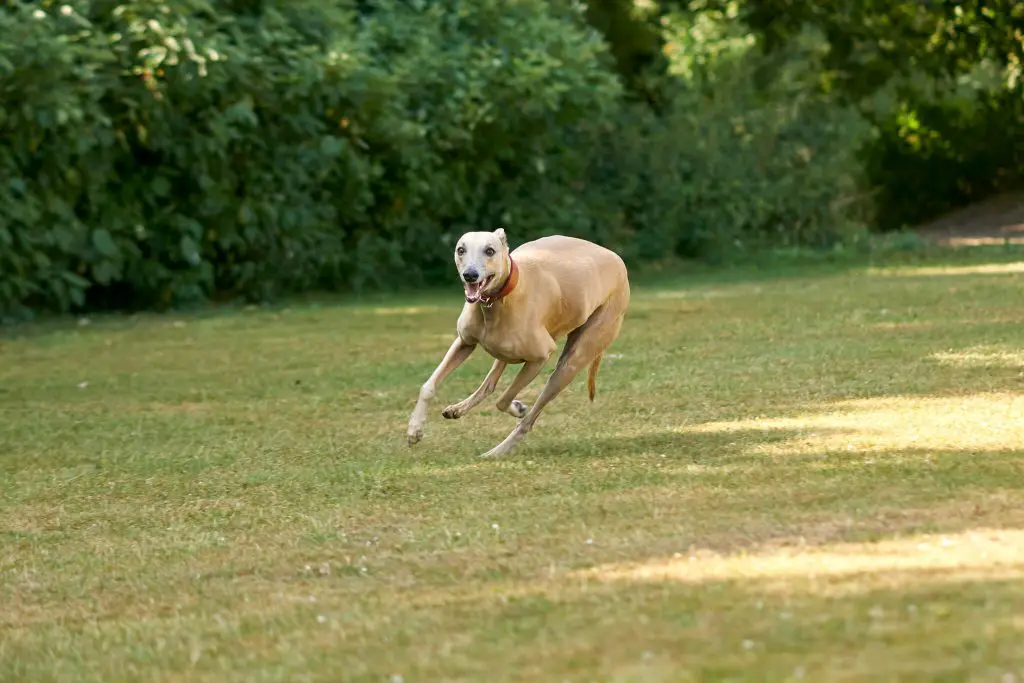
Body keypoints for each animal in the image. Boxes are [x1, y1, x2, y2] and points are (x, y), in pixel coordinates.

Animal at [403, 229, 626, 458]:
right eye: (461, 250)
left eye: (489, 250)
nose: (470, 275)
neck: (498, 301)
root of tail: (614, 257)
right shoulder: (464, 343)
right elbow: (428, 386)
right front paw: (414, 429)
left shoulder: (540, 357)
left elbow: (503, 401)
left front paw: (517, 408)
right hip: (505, 354)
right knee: (490, 384)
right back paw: (459, 409)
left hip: (570, 364)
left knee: (527, 420)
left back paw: (496, 451)